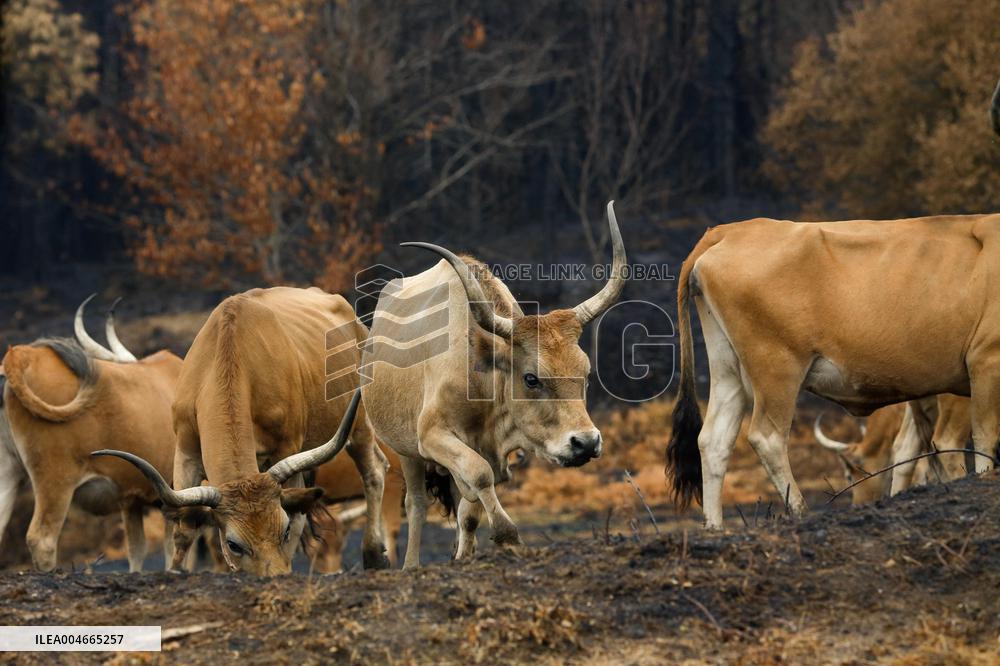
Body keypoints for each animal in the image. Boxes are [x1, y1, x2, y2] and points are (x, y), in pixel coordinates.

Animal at [0, 302, 182, 571]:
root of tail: (21, 355)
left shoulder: (131, 498)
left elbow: (138, 549)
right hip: (55, 478)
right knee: (42, 538)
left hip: (9, 471)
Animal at [96, 287, 390, 575]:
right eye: (233, 544)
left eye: (282, 531)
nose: (274, 576)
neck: (229, 355)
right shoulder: (186, 450)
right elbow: (184, 528)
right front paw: (175, 570)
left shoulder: (287, 448)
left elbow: (297, 520)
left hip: (359, 422)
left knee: (373, 471)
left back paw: (375, 555)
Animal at [361, 201, 626, 568]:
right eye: (531, 378)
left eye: (586, 374)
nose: (585, 443)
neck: (482, 379)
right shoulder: (432, 435)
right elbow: (479, 474)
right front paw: (507, 536)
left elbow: (471, 506)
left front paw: (465, 555)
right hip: (406, 451)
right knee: (415, 503)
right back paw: (411, 564)